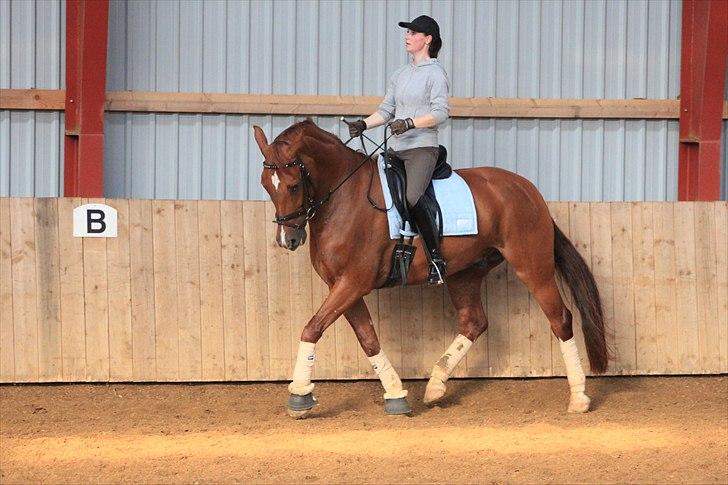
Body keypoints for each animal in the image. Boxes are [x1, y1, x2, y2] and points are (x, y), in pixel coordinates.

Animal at [255, 120, 608, 416]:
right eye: (266, 185)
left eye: (292, 185)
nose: (289, 238)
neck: (344, 198)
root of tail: (528, 190)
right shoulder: (343, 286)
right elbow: (367, 338)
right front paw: (395, 396)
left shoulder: (354, 282)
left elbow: (312, 328)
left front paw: (299, 396)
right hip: (465, 273)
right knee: (474, 322)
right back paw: (436, 386)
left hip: (532, 267)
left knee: (560, 319)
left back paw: (579, 397)